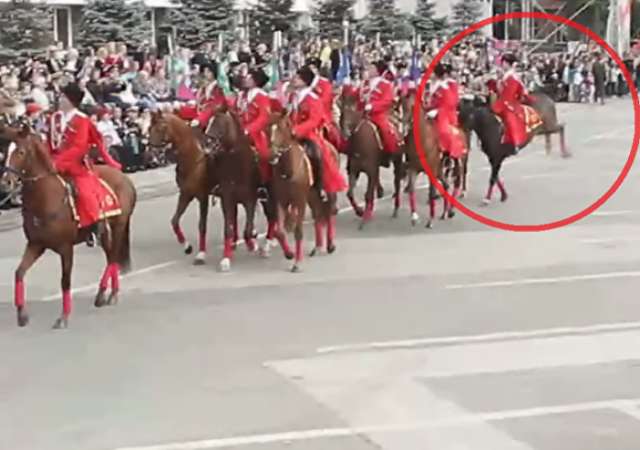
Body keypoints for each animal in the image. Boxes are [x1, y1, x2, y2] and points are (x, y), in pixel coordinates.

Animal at [0, 125, 136, 328]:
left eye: (21, 152)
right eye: (5, 151)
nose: (5, 182)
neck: (46, 198)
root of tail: (123, 177)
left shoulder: (66, 248)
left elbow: (65, 281)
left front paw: (63, 317)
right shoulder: (36, 245)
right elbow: (19, 273)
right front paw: (22, 315)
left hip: (118, 226)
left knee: (113, 258)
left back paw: (105, 294)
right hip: (105, 232)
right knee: (111, 257)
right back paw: (108, 294)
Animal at [148, 112, 215, 266]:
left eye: (161, 128)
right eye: (149, 128)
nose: (151, 152)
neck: (193, 159)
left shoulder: (203, 196)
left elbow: (202, 225)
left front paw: (201, 255)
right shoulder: (185, 194)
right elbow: (174, 220)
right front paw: (187, 246)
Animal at [205, 107, 296, 272]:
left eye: (220, 123)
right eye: (208, 122)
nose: (207, 145)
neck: (235, 163)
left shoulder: (250, 199)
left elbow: (247, 229)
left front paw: (252, 244)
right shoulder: (227, 198)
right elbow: (228, 229)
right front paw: (226, 259)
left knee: (272, 217)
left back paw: (267, 245)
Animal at [268, 114, 338, 272]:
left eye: (281, 128)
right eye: (268, 128)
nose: (272, 155)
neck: (289, 171)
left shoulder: (300, 202)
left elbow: (298, 231)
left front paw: (297, 262)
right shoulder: (281, 201)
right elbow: (279, 232)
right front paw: (289, 254)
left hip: (327, 191)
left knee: (329, 212)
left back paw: (330, 245)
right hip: (311, 196)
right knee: (317, 215)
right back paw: (317, 247)